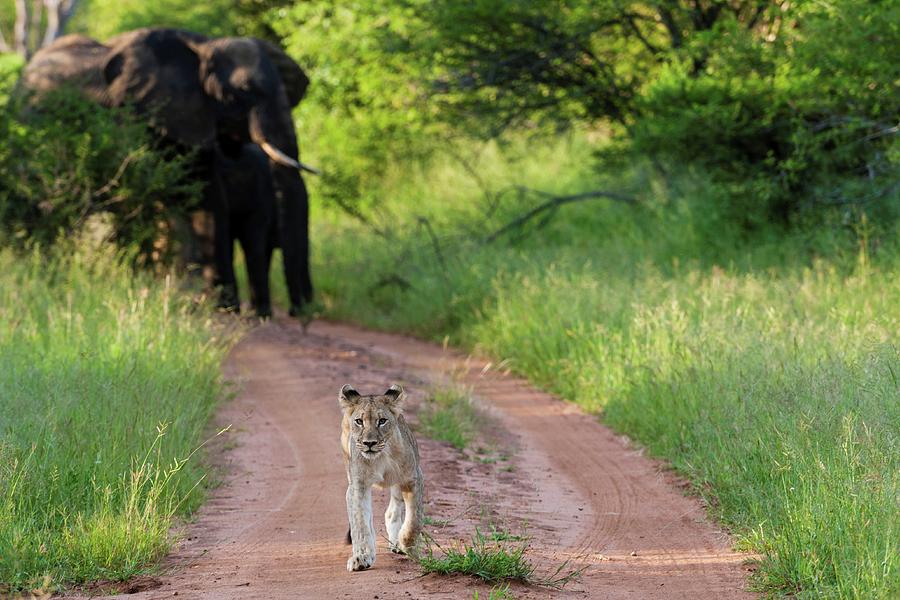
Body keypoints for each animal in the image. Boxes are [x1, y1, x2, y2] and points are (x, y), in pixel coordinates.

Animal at [19, 28, 318, 316]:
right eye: (244, 90)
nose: (299, 312)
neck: (203, 47)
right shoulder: (136, 114)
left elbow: (205, 200)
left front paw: (220, 305)